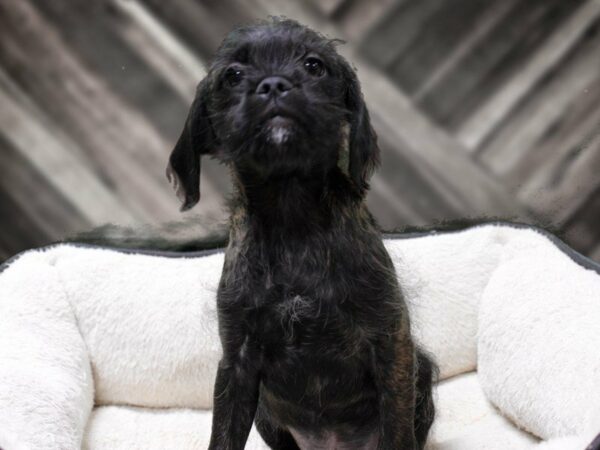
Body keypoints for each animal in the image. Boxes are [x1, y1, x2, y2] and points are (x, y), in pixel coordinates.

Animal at [166, 18, 434, 450]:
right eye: (232, 75)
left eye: (313, 65)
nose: (274, 84)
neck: (292, 216)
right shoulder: (237, 362)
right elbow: (223, 435)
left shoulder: (391, 343)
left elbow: (397, 431)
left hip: (421, 372)